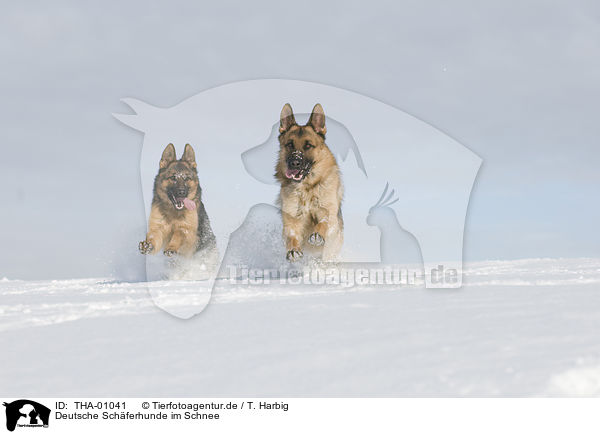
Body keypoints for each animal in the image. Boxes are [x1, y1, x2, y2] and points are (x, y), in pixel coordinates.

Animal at [276, 102, 342, 262]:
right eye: (290, 144)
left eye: (308, 146)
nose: (294, 163)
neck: (307, 188)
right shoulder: (291, 218)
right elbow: (291, 235)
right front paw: (293, 250)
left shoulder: (328, 211)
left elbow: (323, 222)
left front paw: (317, 235)